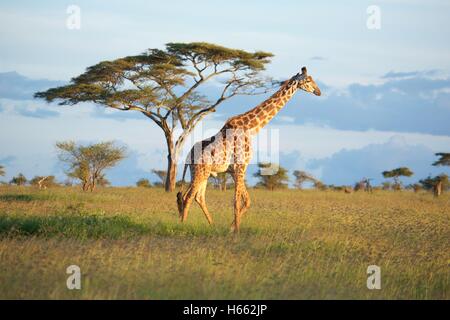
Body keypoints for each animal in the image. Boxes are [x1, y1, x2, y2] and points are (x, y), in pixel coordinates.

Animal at [178, 67, 322, 232]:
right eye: (308, 80)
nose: (319, 92)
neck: (250, 128)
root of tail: (188, 156)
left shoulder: (234, 170)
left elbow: (246, 201)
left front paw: (231, 227)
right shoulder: (241, 166)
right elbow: (236, 202)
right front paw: (236, 231)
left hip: (202, 172)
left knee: (197, 197)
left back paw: (211, 225)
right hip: (200, 171)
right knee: (188, 196)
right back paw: (182, 225)